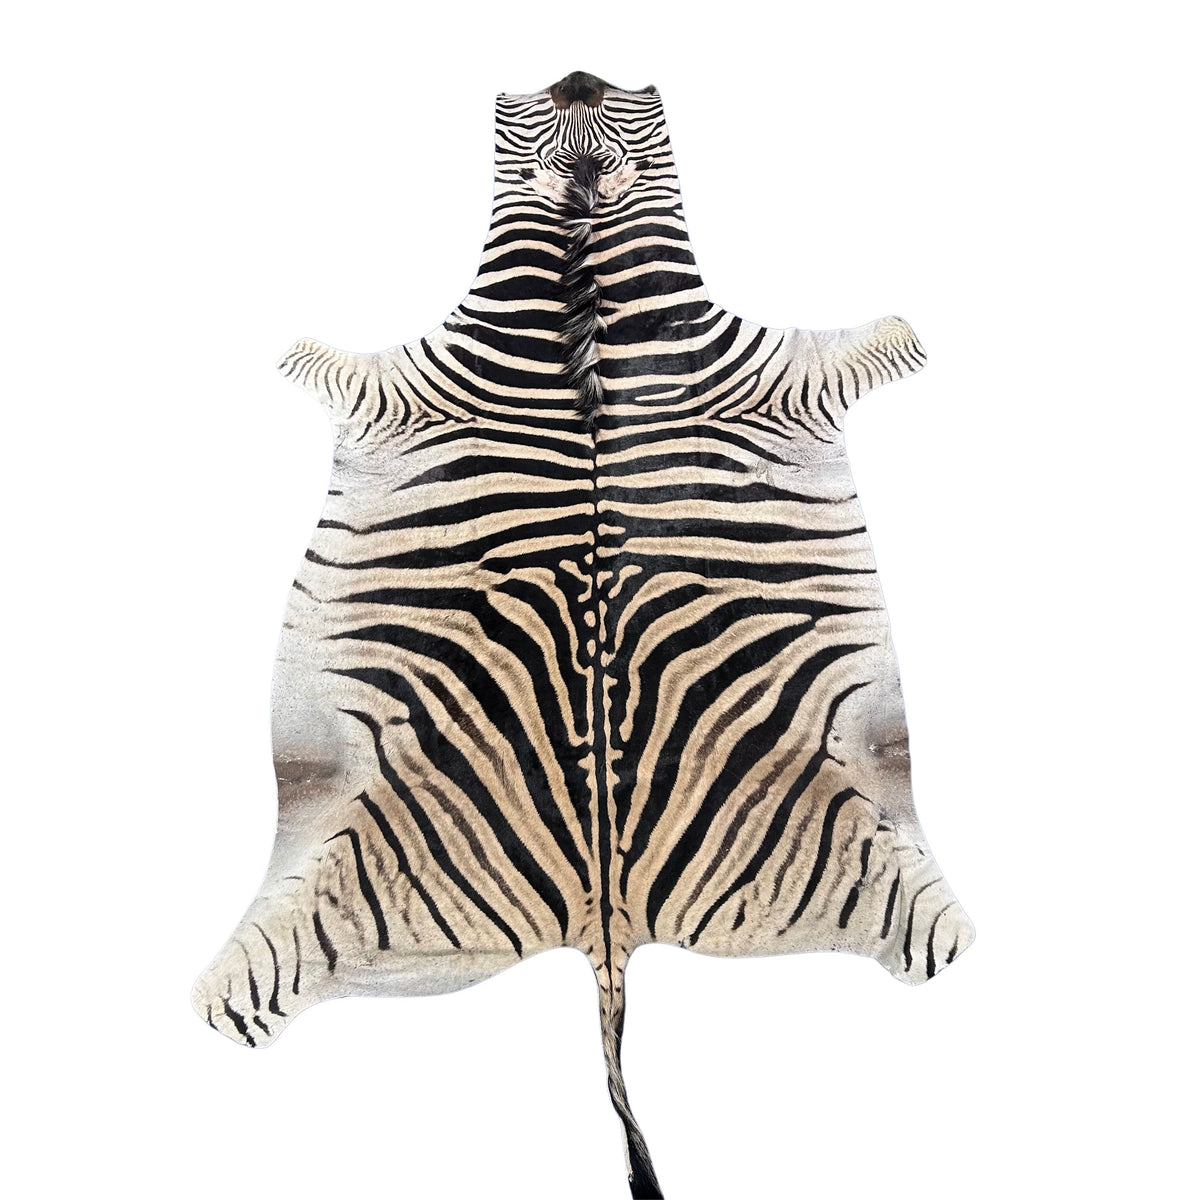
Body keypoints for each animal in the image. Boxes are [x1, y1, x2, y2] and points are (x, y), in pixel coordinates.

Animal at [193, 70, 973, 1198]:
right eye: (533, 115)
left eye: (628, 106)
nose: (578, 75)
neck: (585, 269)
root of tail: (607, 931)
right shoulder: (394, 382)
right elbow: (320, 359)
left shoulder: (789, 370)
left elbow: (874, 342)